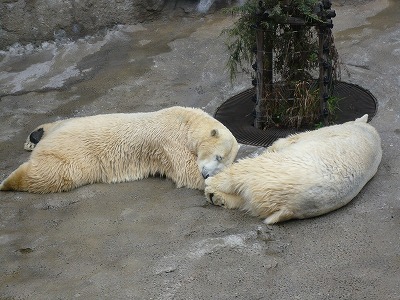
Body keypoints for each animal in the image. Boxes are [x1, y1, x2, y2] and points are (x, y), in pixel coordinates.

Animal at [0, 106, 238, 193]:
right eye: (218, 157)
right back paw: (6, 183)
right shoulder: (169, 141)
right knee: (54, 174)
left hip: (67, 127)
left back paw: (34, 136)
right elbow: (185, 169)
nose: (206, 173)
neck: (185, 122)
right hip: (74, 151)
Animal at [205, 115, 382, 225]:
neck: (366, 132)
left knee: (245, 172)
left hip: (272, 172)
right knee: (246, 201)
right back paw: (215, 196)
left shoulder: (326, 132)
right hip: (266, 196)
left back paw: (212, 184)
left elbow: (287, 141)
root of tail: (288, 204)